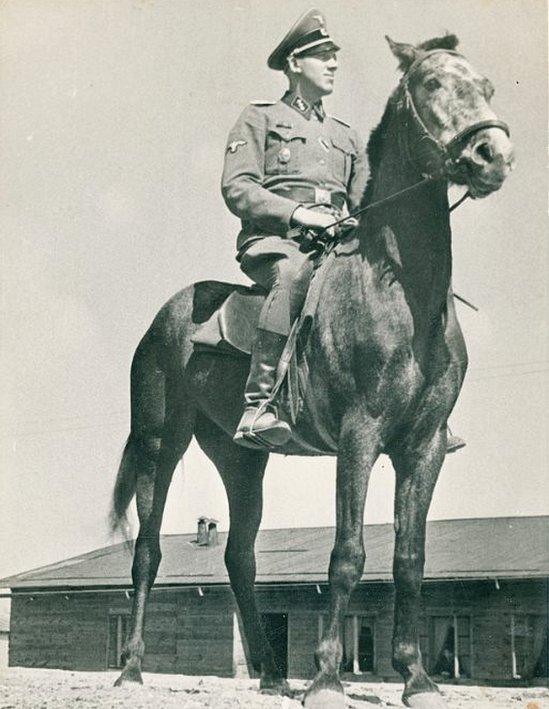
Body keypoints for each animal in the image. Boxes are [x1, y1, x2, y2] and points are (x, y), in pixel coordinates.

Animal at [109, 36, 512, 708]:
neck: (401, 293)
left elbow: (409, 558)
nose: (494, 156)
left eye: (485, 85)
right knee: (146, 551)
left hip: (240, 457)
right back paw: (132, 669)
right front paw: (326, 676)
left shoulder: (423, 446)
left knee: (240, 556)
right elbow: (348, 553)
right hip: (160, 443)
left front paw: (416, 677)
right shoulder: (359, 436)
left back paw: (272, 671)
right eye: (431, 83)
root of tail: (164, 317)